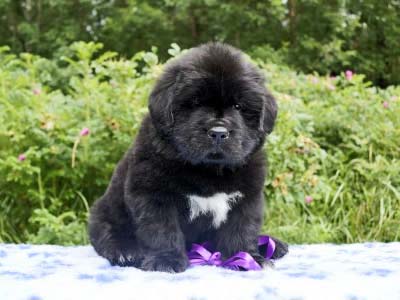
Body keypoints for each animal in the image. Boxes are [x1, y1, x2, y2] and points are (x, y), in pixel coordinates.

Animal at [88, 42, 288, 274]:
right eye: (195, 103)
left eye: (238, 106)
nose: (218, 132)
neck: (208, 170)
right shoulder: (152, 194)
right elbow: (161, 230)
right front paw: (165, 260)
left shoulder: (248, 196)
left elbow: (242, 229)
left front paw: (247, 258)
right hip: (104, 210)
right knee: (106, 232)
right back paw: (124, 251)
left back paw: (274, 245)